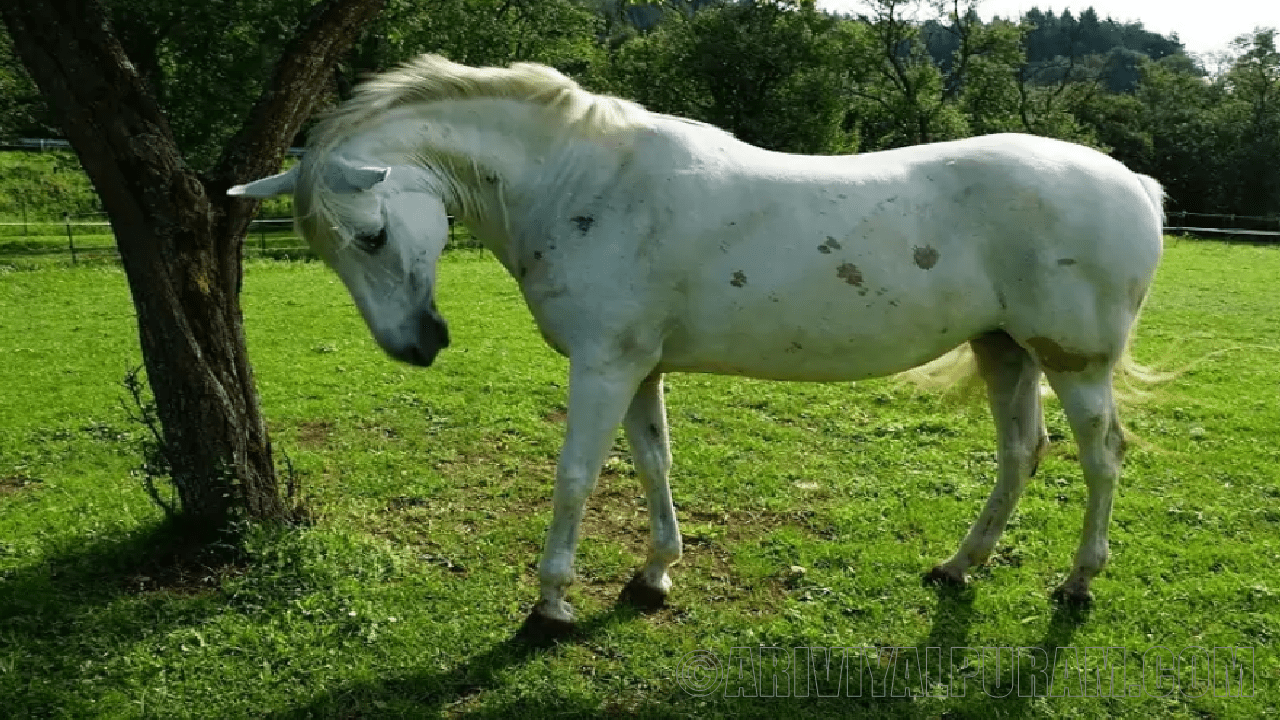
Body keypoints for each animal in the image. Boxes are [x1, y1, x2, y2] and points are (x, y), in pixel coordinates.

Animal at [227, 56, 1162, 638]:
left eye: (374, 235)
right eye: (330, 248)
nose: (415, 346)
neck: (583, 185)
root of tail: (1136, 184)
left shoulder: (603, 365)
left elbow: (575, 477)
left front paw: (551, 606)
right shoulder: (639, 367)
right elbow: (652, 463)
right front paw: (654, 575)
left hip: (1074, 364)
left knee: (1102, 458)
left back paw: (1078, 580)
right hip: (1006, 350)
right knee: (1020, 454)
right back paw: (959, 566)